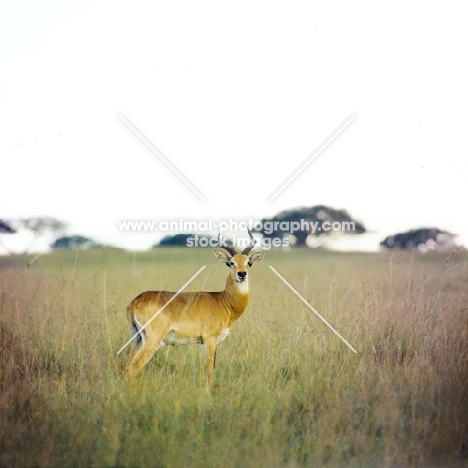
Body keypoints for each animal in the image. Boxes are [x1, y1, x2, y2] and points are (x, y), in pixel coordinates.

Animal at [124, 233, 264, 392]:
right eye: (231, 263)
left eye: (249, 263)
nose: (242, 274)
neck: (223, 301)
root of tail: (135, 301)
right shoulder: (210, 339)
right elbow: (209, 368)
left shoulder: (205, 342)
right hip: (153, 340)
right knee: (136, 365)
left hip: (137, 338)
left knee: (128, 366)